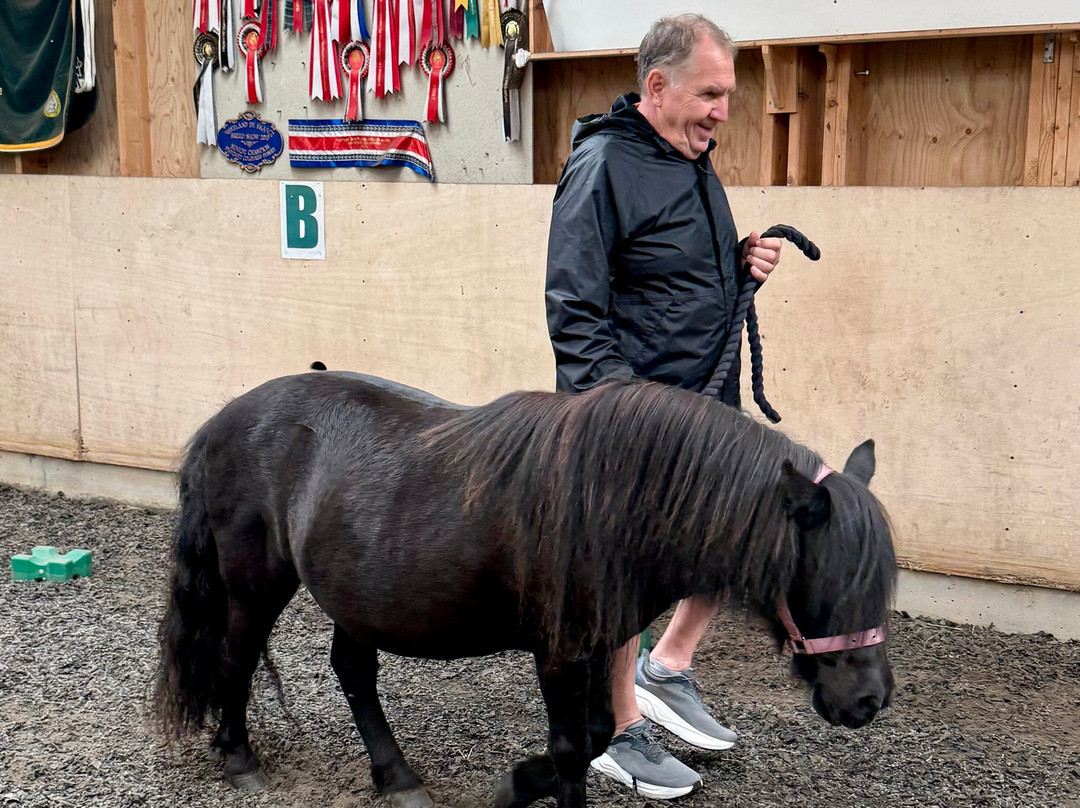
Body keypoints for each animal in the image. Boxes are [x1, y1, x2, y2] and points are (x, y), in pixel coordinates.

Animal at [152, 370, 896, 808]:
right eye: (827, 579)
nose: (868, 701)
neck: (619, 498)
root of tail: (221, 422)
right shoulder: (560, 650)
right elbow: (572, 748)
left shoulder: (598, 641)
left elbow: (595, 736)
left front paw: (516, 785)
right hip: (255, 584)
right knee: (235, 661)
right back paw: (238, 756)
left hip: (357, 595)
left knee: (353, 671)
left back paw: (396, 776)